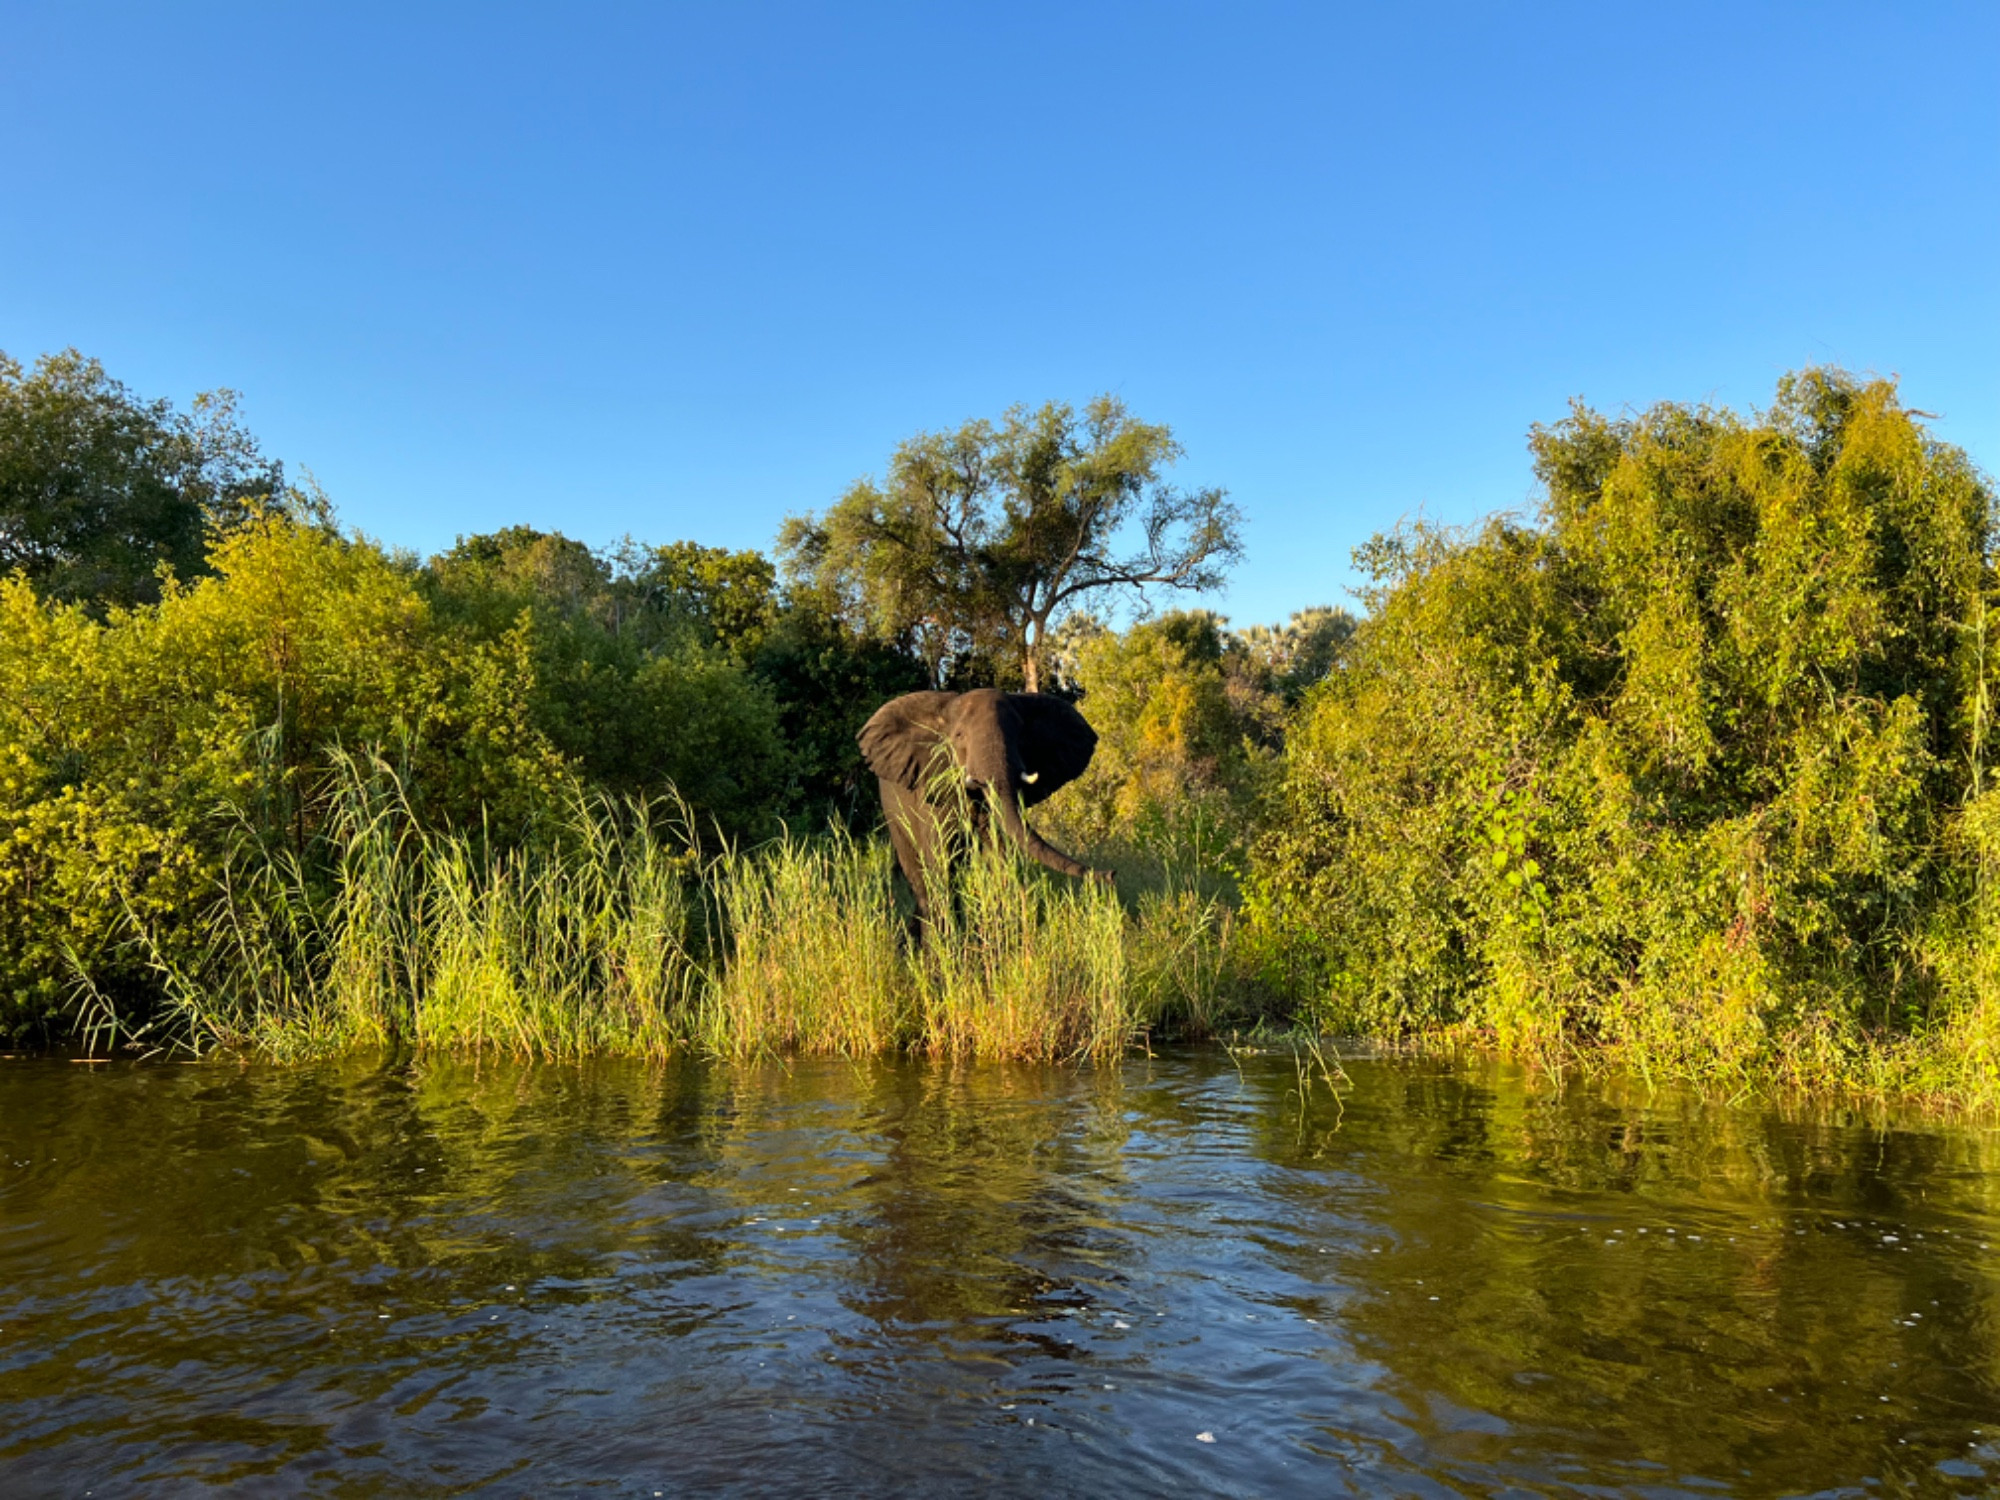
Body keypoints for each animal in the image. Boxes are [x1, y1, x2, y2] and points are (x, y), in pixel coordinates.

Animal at [856, 692, 1112, 928]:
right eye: (959, 736)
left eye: (1021, 736)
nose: (1110, 875)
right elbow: (941, 863)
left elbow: (999, 857)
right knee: (919, 878)